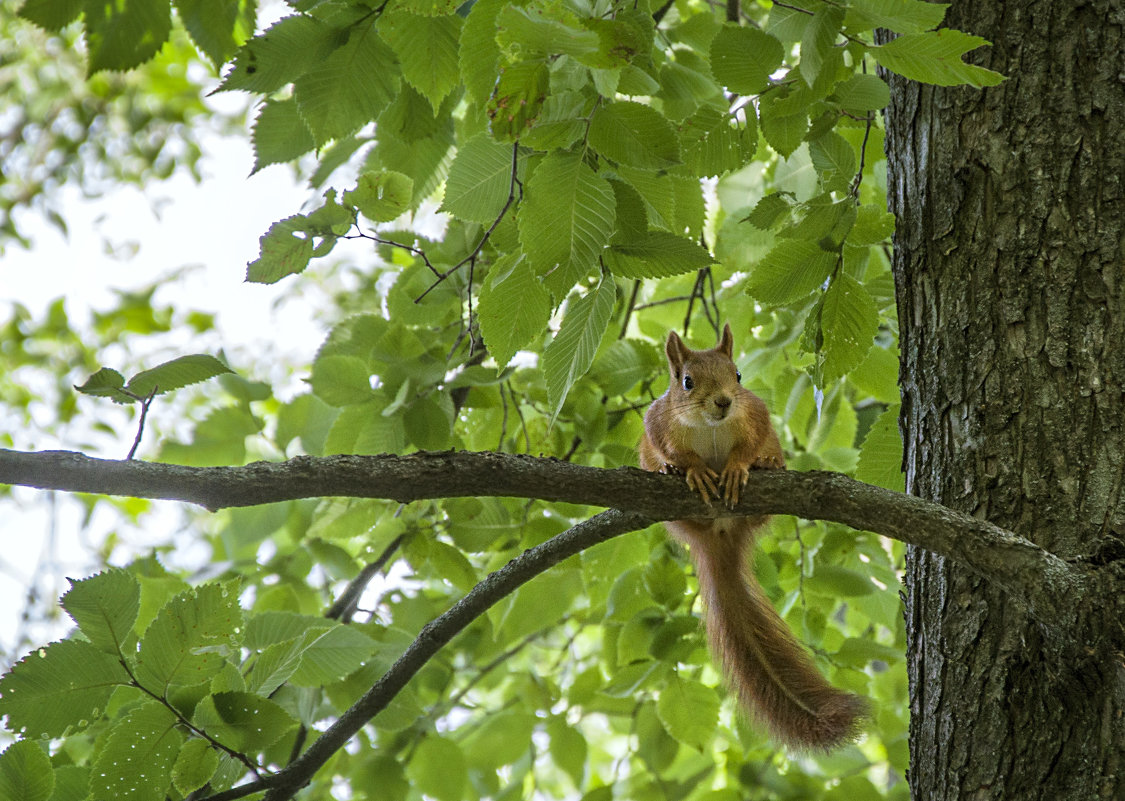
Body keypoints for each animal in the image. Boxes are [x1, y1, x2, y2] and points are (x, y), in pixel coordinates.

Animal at [639, 321, 864, 747]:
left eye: (738, 374)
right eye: (686, 381)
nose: (725, 402)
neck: (709, 427)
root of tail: (720, 536)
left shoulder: (755, 413)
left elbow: (748, 443)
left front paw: (739, 466)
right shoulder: (657, 424)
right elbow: (675, 451)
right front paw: (690, 468)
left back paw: (766, 464)